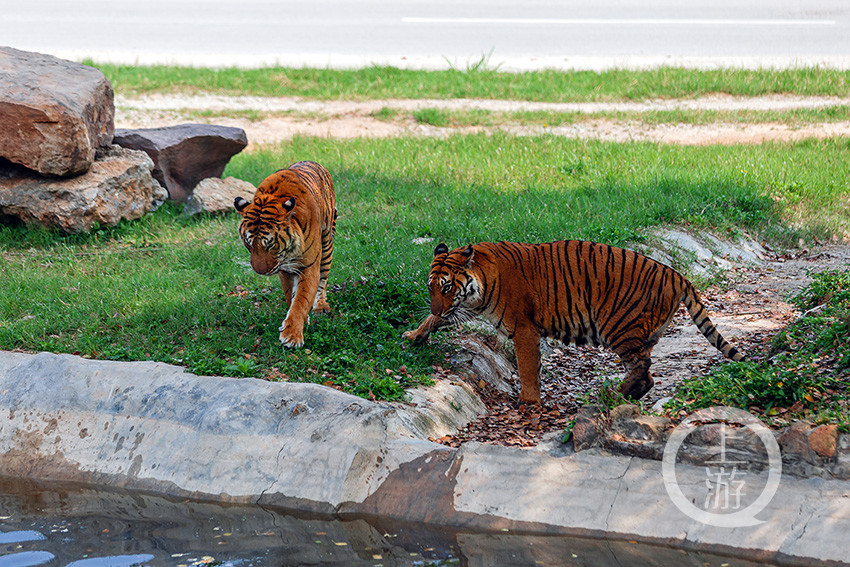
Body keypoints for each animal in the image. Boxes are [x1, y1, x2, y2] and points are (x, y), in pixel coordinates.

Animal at [235, 159, 338, 346]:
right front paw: (298, 322)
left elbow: (301, 300)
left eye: (270, 245)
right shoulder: (284, 269)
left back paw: (320, 307)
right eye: (249, 244)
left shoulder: (309, 266)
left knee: (323, 279)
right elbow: (292, 296)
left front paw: (292, 335)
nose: (260, 272)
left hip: (327, 243)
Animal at [404, 242, 744, 406]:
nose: (437, 302)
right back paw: (623, 395)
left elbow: (527, 368)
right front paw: (414, 335)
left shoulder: (523, 329)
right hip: (640, 333)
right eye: (431, 288)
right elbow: (434, 318)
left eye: (447, 287)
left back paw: (611, 396)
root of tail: (677, 274)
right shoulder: (462, 308)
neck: (482, 280)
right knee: (647, 374)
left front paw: (528, 402)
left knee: (642, 370)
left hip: (619, 327)